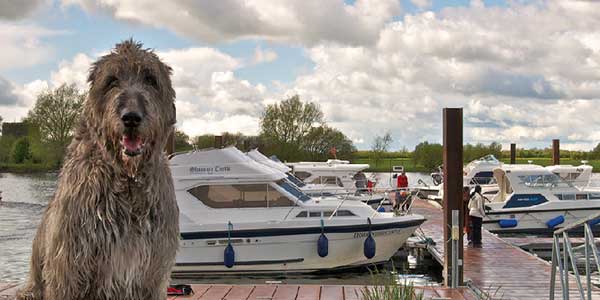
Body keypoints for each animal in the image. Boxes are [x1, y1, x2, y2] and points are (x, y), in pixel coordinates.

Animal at [16, 39, 179, 300]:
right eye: (111, 81)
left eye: (150, 79)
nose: (131, 117)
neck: (127, 179)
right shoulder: (68, 267)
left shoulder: (153, 273)